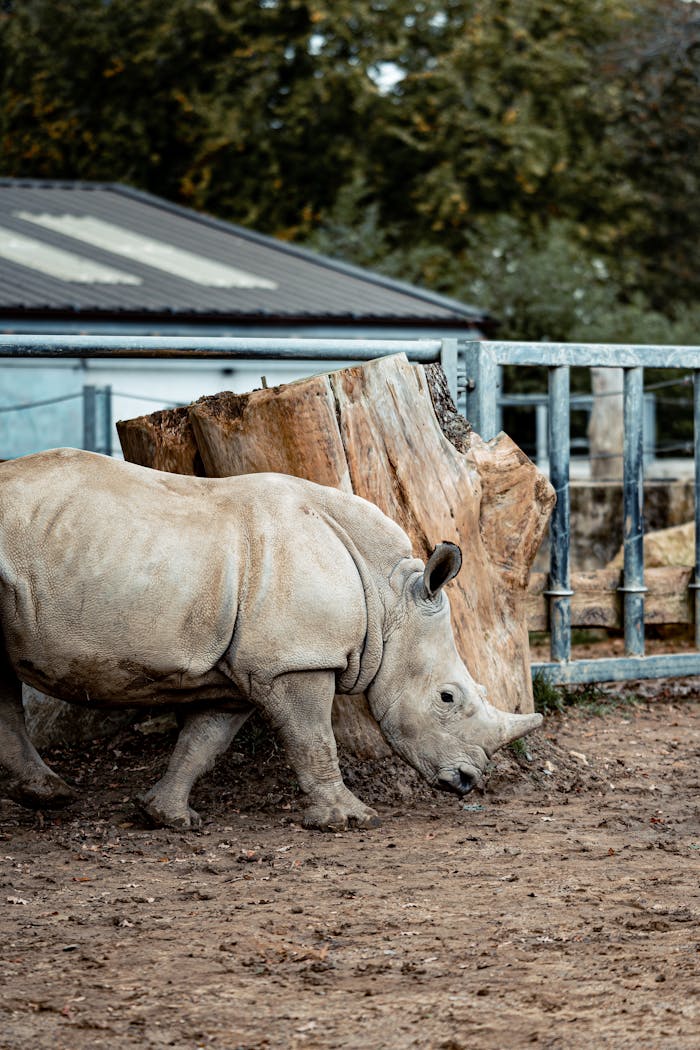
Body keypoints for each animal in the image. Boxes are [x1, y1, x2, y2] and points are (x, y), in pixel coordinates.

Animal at [0, 448, 541, 831]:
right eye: (448, 697)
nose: (470, 781)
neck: (389, 596)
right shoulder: (296, 659)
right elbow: (314, 737)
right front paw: (350, 820)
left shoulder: (247, 666)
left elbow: (203, 741)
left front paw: (167, 817)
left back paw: (47, 795)